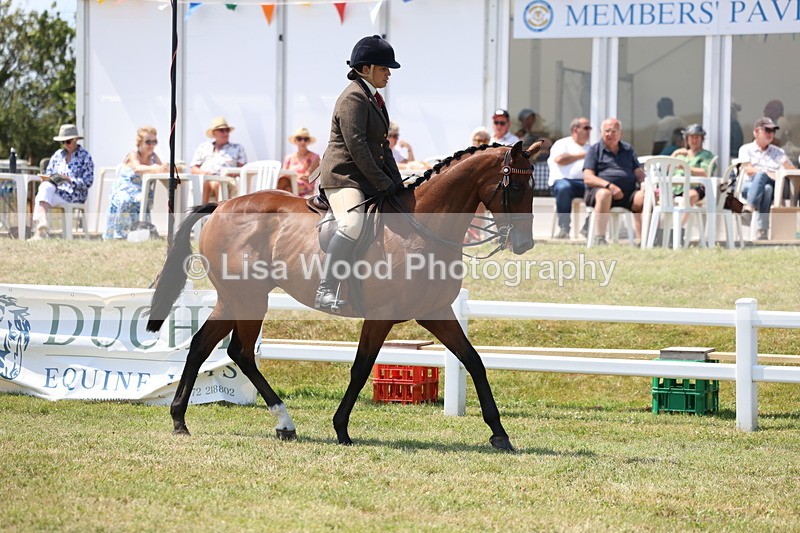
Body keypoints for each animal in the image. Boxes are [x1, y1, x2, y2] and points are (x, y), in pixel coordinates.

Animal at [146, 140, 542, 451]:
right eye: (516, 187)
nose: (525, 244)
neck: (423, 227)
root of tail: (221, 207)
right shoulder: (381, 315)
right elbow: (361, 367)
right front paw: (341, 429)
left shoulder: (436, 311)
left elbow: (473, 361)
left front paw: (500, 434)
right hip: (249, 300)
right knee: (240, 352)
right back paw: (282, 421)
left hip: (234, 300)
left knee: (204, 346)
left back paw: (182, 419)